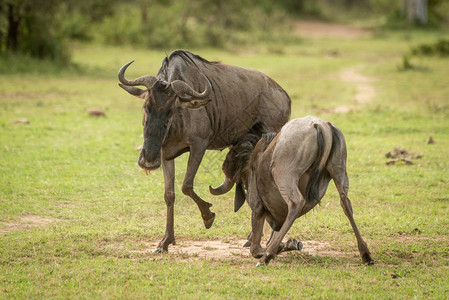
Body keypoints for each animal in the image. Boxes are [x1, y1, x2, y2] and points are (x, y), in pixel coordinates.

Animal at [212, 116, 372, 266]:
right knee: (346, 203)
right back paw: (365, 254)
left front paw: (280, 247)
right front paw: (287, 245)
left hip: (283, 174)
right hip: (339, 172)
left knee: (296, 203)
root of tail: (320, 125)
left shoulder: (258, 208)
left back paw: (267, 256)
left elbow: (255, 249)